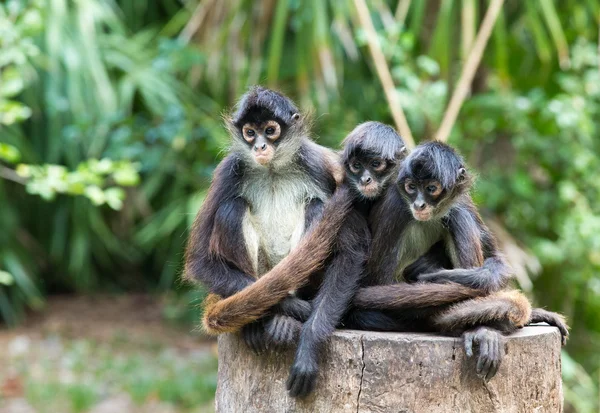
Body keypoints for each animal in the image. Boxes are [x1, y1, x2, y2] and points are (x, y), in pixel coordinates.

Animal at [185, 86, 350, 348]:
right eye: (250, 133)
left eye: (270, 131)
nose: (260, 146)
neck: (272, 169)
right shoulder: (228, 171)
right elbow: (199, 262)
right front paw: (288, 305)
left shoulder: (317, 162)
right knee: (232, 208)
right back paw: (260, 321)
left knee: (315, 206)